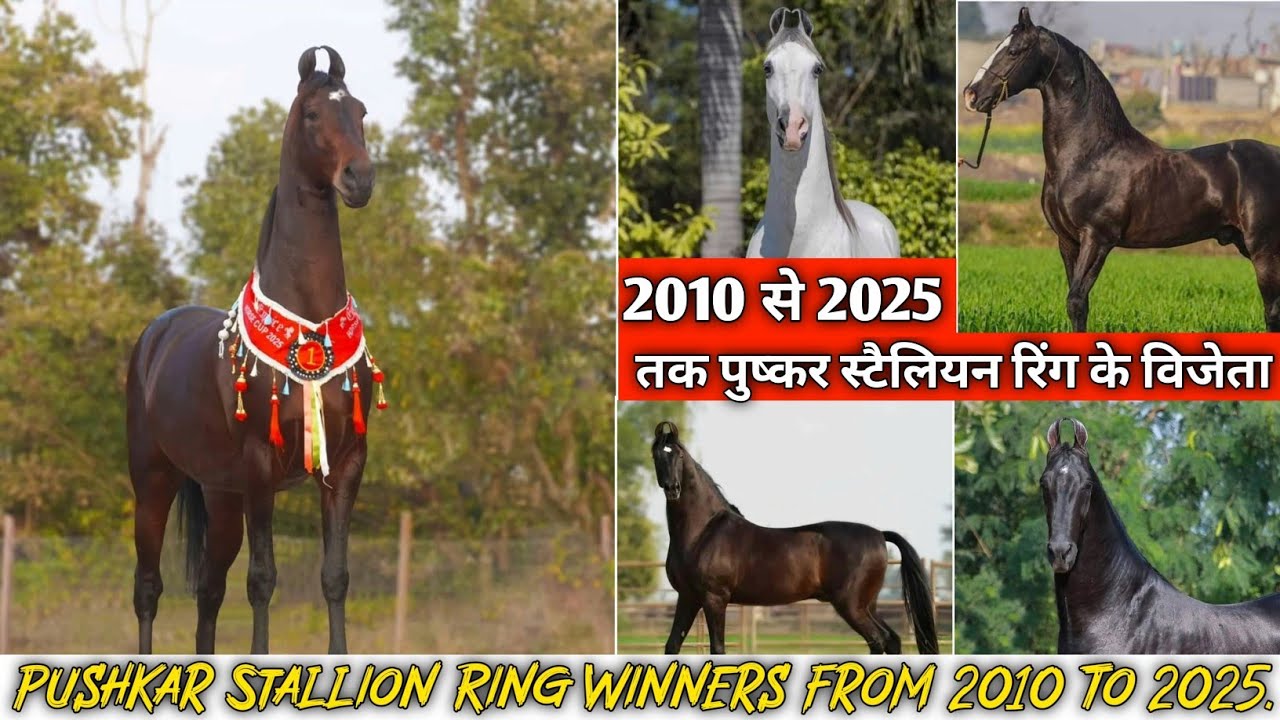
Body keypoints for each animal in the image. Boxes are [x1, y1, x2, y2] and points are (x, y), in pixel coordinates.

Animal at [126, 46, 377, 654]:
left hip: (221, 497)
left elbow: (335, 577)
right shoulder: (262, 466)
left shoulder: (347, 464)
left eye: (359, 110)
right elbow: (263, 581)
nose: (359, 177)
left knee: (208, 595)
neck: (309, 325)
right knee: (148, 589)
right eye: (312, 113)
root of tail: (154, 338)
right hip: (153, 482)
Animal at [651, 421, 937, 654]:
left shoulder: (714, 599)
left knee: (877, 641)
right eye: (657, 455)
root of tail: (879, 535)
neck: (703, 532)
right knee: (891, 640)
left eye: (678, 454)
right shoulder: (688, 597)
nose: (673, 489)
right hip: (868, 605)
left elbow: (718, 650)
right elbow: (672, 646)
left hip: (852, 606)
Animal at [963, 7, 1280, 332]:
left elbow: (1076, 302)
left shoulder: (1098, 238)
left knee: (1272, 310)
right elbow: (1078, 305)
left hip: (1264, 249)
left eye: (1014, 51)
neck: (1090, 155)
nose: (971, 95)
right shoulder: (1067, 241)